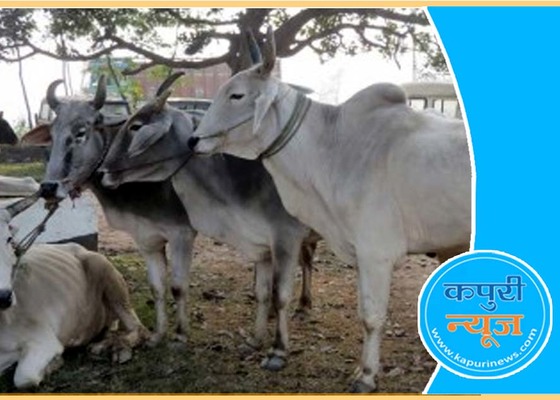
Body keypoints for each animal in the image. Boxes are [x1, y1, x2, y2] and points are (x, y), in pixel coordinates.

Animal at [0, 195, 147, 389]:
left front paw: (53, 364)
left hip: (102, 267)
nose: (4, 297)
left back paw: (112, 347)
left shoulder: (43, 340)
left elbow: (25, 378)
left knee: (139, 328)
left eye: (8, 239)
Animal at [22, 76, 318, 368]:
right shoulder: (146, 239)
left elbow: (178, 287)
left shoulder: (181, 234)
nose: (48, 187)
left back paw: (303, 304)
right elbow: (157, 288)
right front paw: (157, 335)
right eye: (52, 135)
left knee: (305, 260)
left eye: (81, 132)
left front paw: (180, 335)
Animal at [188, 27, 472, 392]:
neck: (332, 147)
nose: (193, 141)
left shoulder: (376, 253)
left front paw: (367, 376)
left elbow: (371, 317)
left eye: (237, 95)